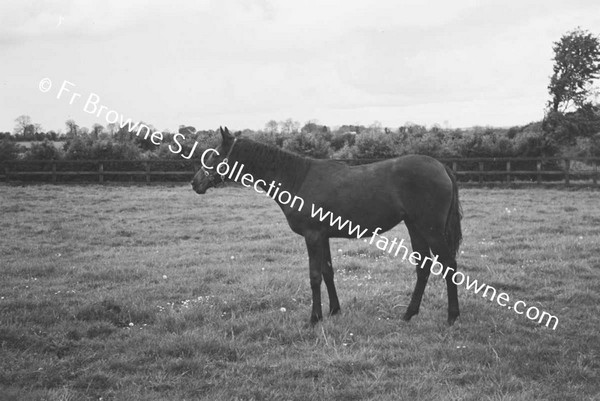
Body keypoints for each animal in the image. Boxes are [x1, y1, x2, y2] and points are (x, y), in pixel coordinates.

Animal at [192, 127, 464, 324]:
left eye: (214, 154)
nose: (195, 183)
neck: (297, 179)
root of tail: (441, 166)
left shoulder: (312, 236)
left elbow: (314, 276)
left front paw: (314, 318)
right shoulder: (323, 237)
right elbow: (327, 272)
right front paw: (334, 310)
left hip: (430, 229)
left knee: (449, 265)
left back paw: (452, 316)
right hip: (415, 227)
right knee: (423, 268)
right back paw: (408, 314)